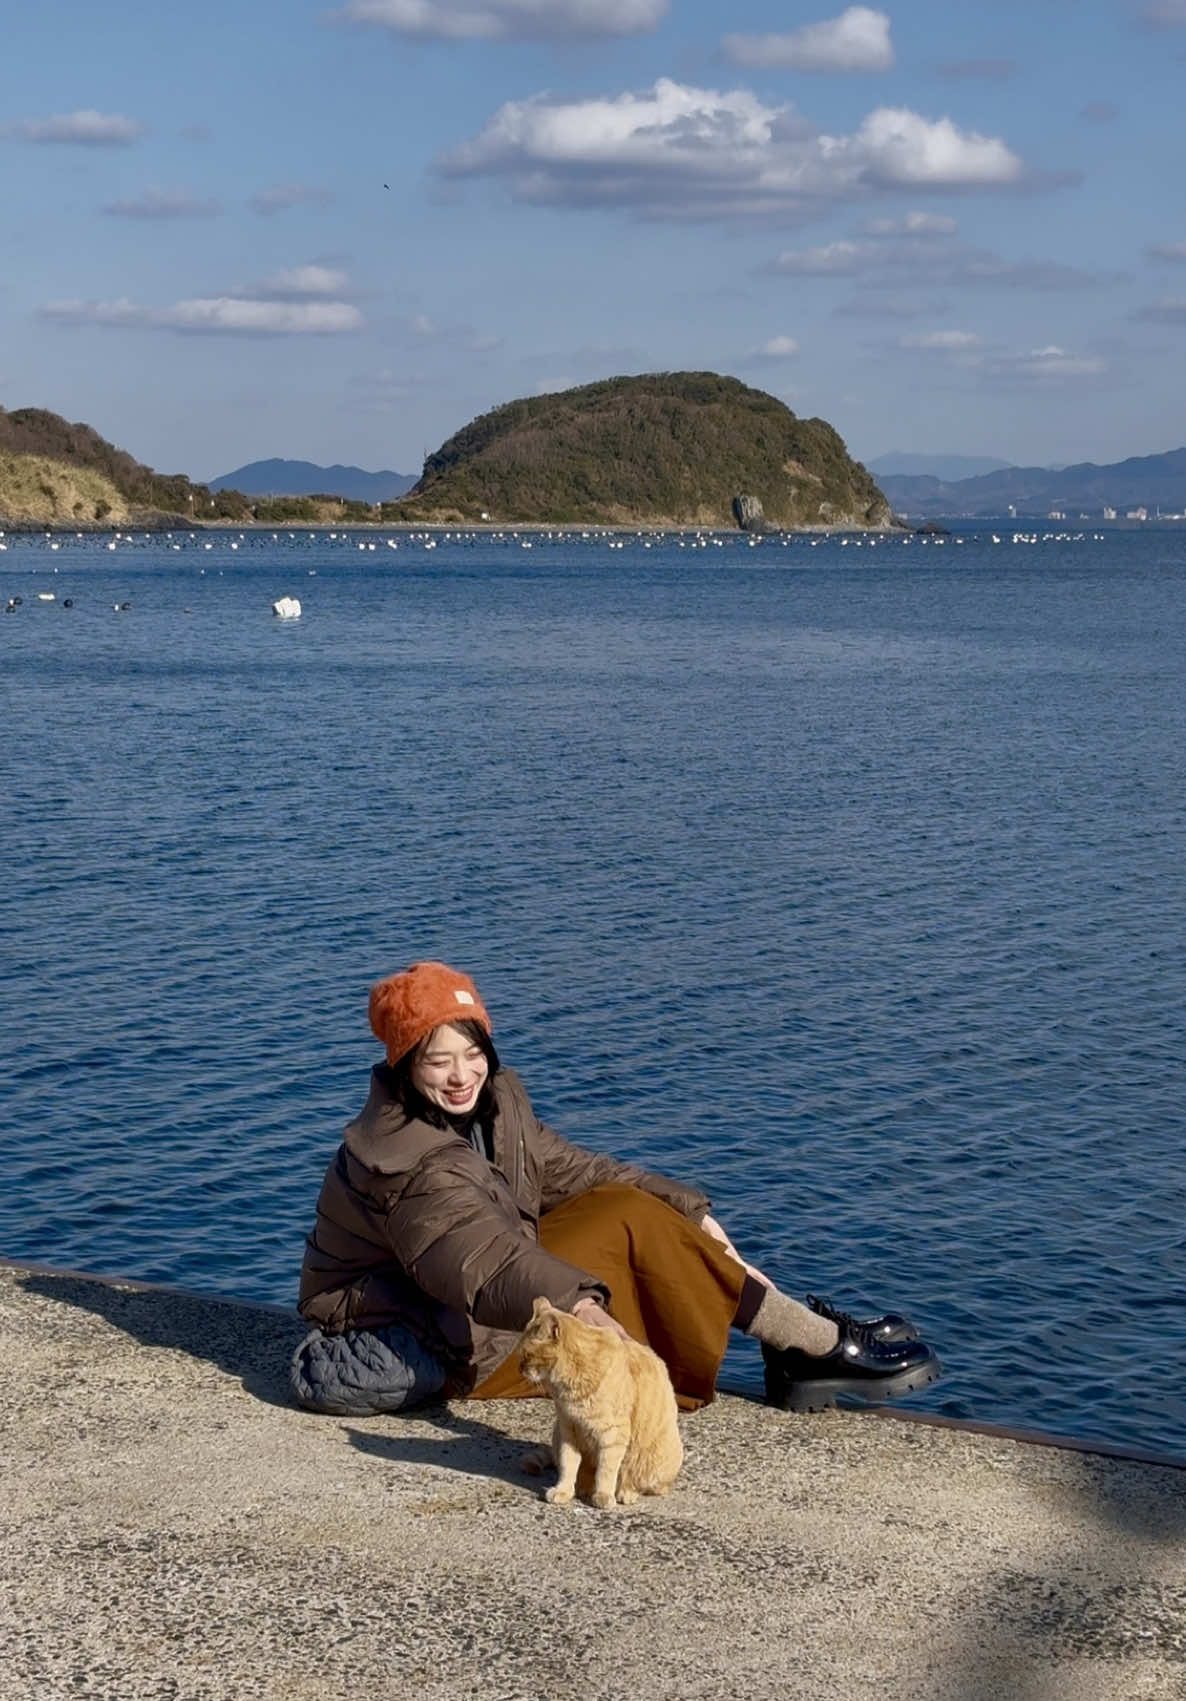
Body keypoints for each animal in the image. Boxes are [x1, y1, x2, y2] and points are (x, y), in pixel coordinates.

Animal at [513, 1292, 680, 1510]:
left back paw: (626, 1492)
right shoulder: (568, 1430)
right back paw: (584, 1488)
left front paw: (603, 1495)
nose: (520, 1368)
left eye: (527, 1355)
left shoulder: (613, 1435)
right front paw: (563, 1490)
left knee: (645, 1482)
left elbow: (606, 1471)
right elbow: (567, 1466)